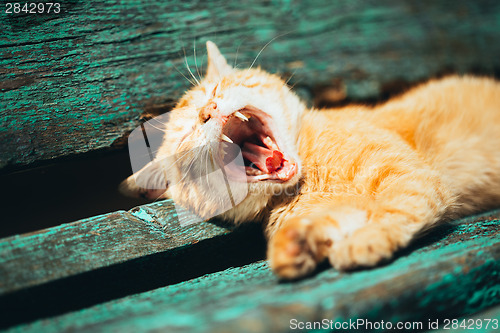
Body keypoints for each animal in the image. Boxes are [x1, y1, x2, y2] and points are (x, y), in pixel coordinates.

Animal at [120, 42, 500, 280]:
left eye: (215, 93)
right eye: (187, 135)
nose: (208, 111)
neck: (310, 174)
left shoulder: (410, 178)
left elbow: (397, 208)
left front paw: (368, 238)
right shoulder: (335, 207)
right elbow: (333, 217)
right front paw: (299, 242)